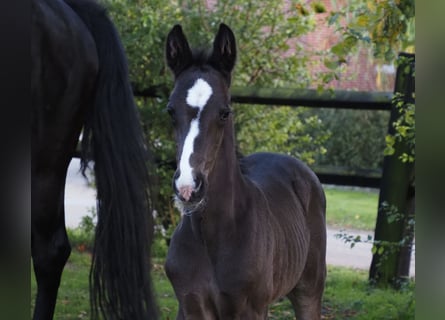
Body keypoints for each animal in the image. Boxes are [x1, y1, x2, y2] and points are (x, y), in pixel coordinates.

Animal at [163, 23, 326, 318]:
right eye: (170, 111)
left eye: (224, 112)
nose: (188, 187)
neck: (214, 234)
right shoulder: (190, 305)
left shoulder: (249, 308)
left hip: (309, 289)